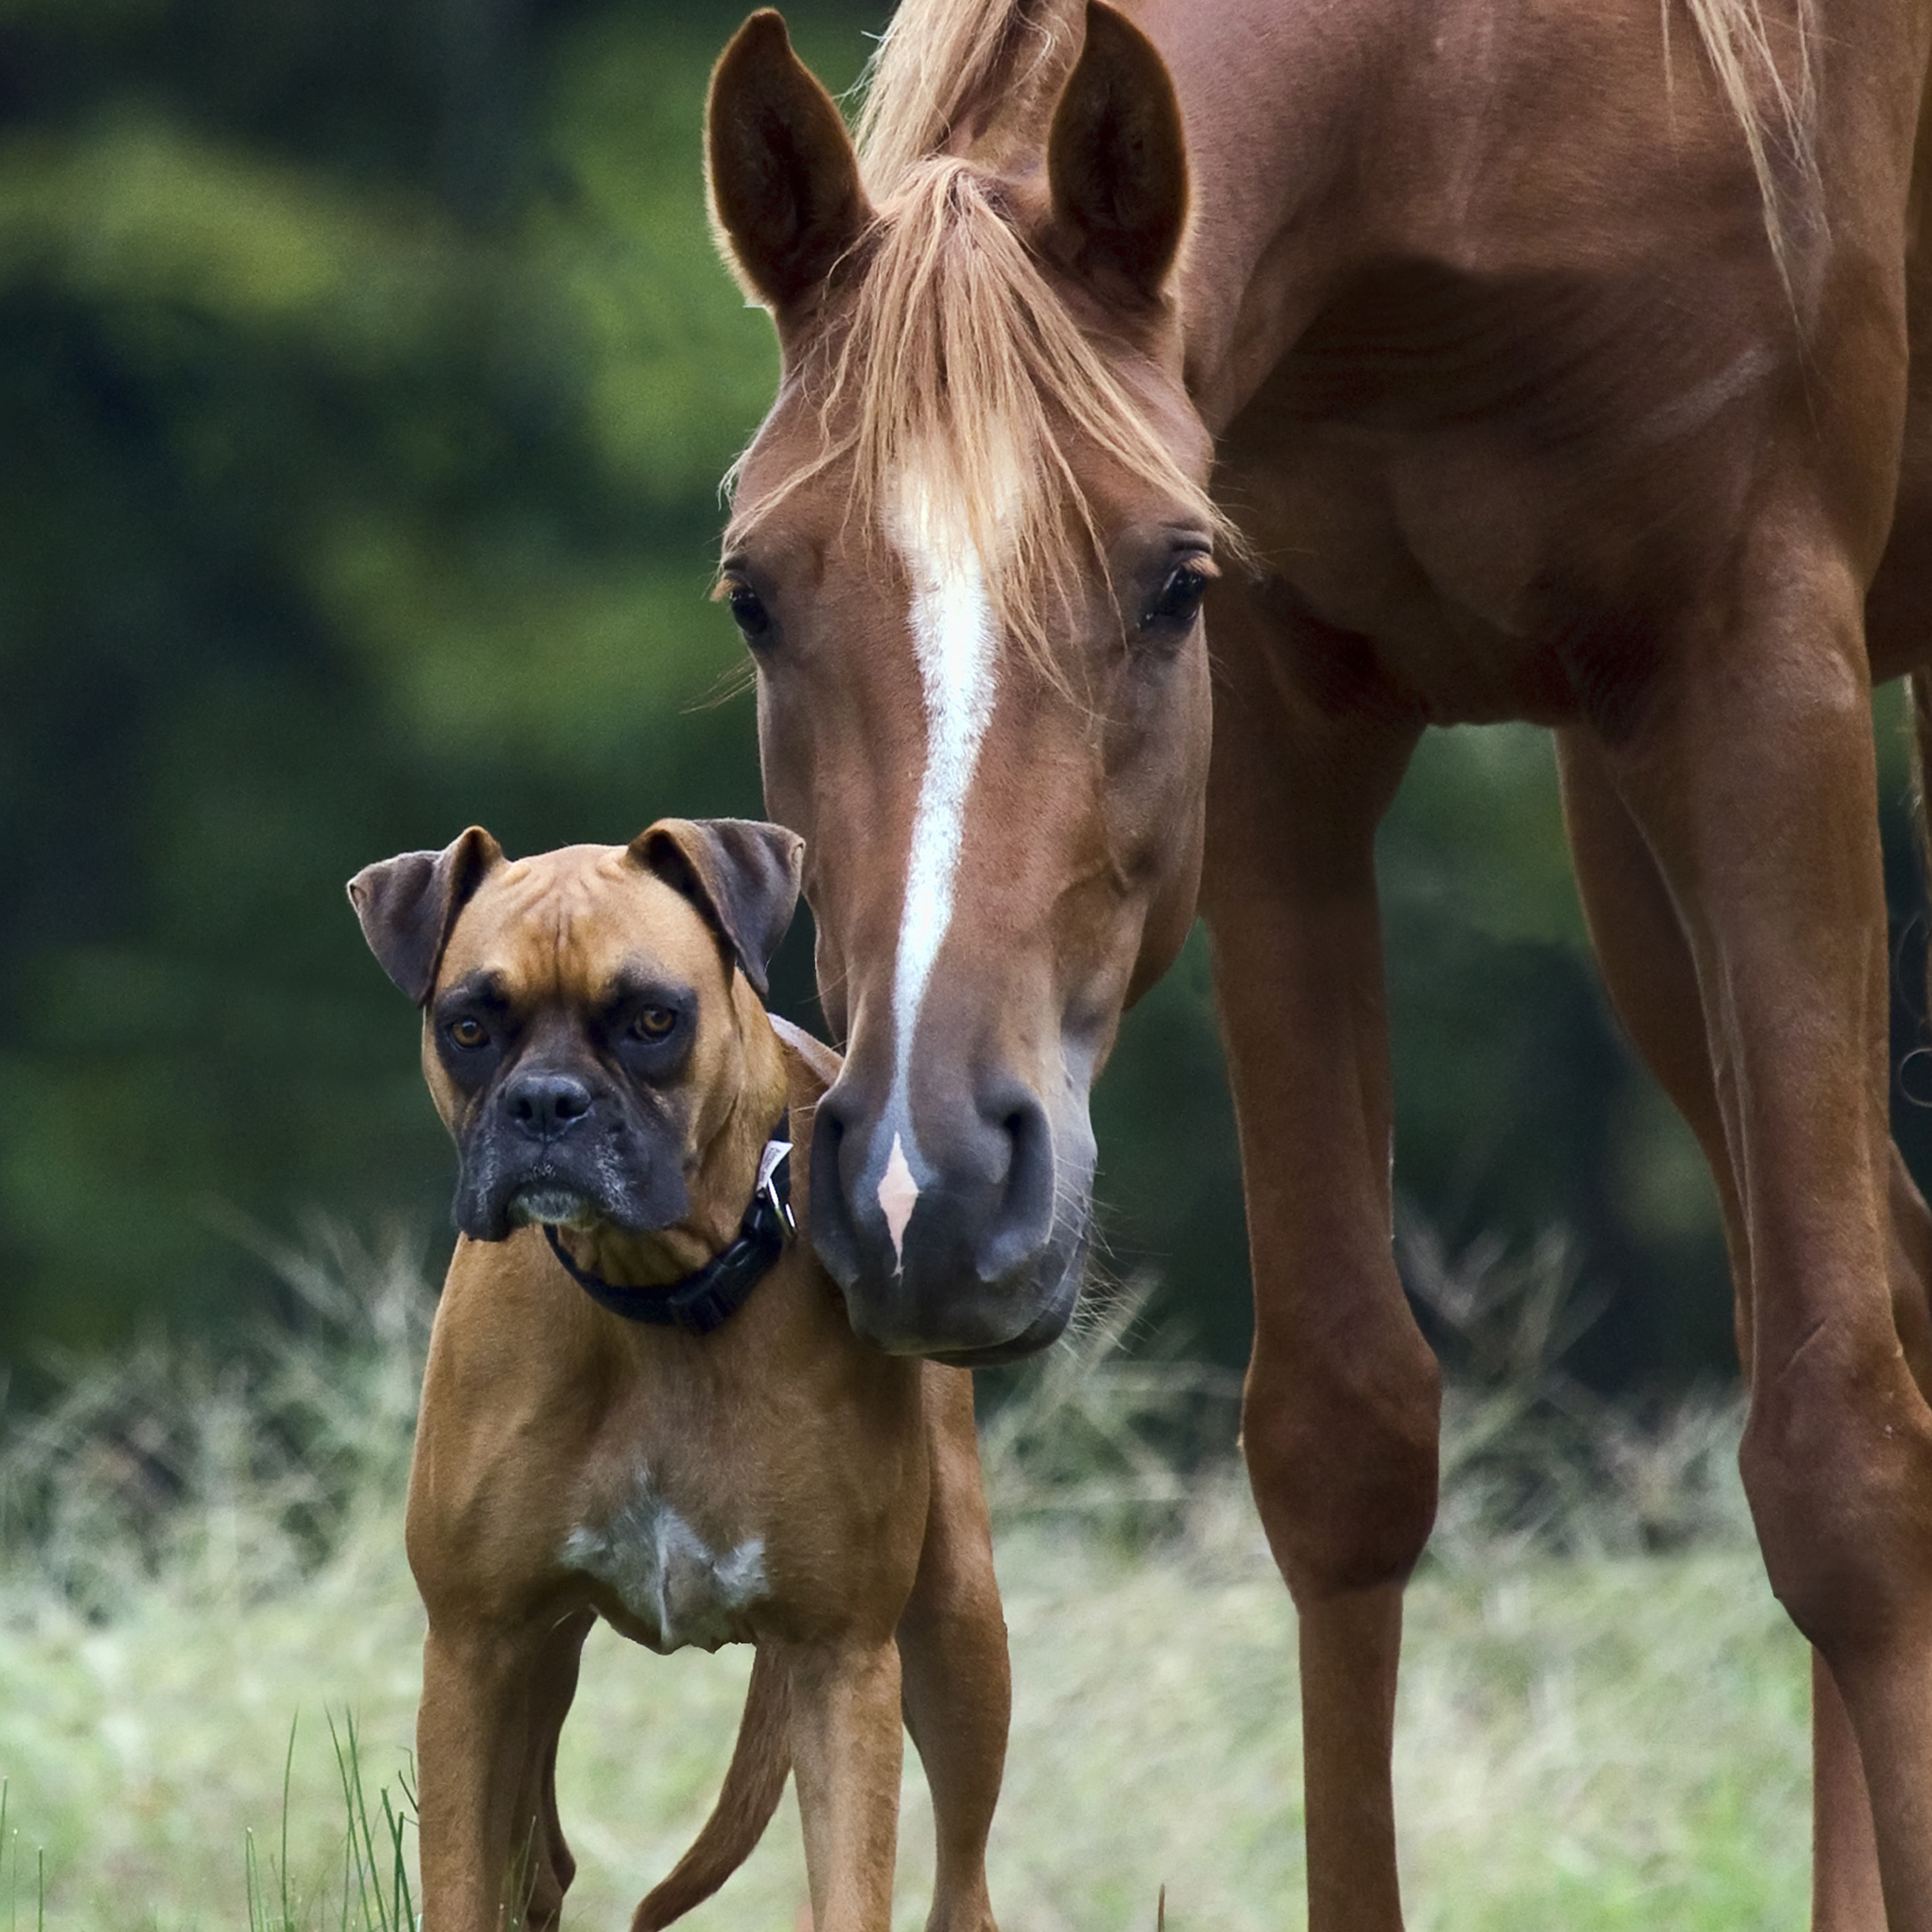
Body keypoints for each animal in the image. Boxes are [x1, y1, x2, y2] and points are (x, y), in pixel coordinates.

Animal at [350, 822, 1011, 1932]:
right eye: (470, 1025)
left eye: (653, 1019)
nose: (546, 1102)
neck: (659, 1298)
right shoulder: (476, 1653)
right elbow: (464, 1883)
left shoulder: (842, 1663)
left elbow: (851, 1886)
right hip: (539, 1673)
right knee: (539, 1864)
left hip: (960, 1633)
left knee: (962, 1880)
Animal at [703, 0, 1932, 1924]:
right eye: (756, 592)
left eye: (1165, 583)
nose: (926, 1190)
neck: (1478, 95)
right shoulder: (1285, 744)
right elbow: (1342, 1443)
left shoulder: (1758, 673)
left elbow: (1843, 1468)